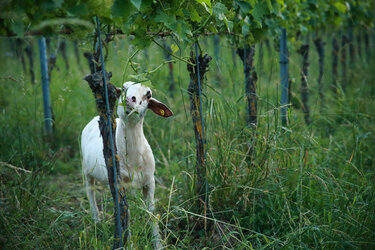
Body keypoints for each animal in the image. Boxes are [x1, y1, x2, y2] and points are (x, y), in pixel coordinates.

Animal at [81, 81, 174, 246]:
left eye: (148, 94)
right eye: (123, 88)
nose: (131, 99)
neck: (133, 159)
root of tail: (95, 118)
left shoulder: (149, 182)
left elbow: (151, 213)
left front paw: (158, 244)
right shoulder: (119, 184)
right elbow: (126, 213)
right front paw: (129, 243)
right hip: (87, 172)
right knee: (90, 193)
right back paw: (96, 221)